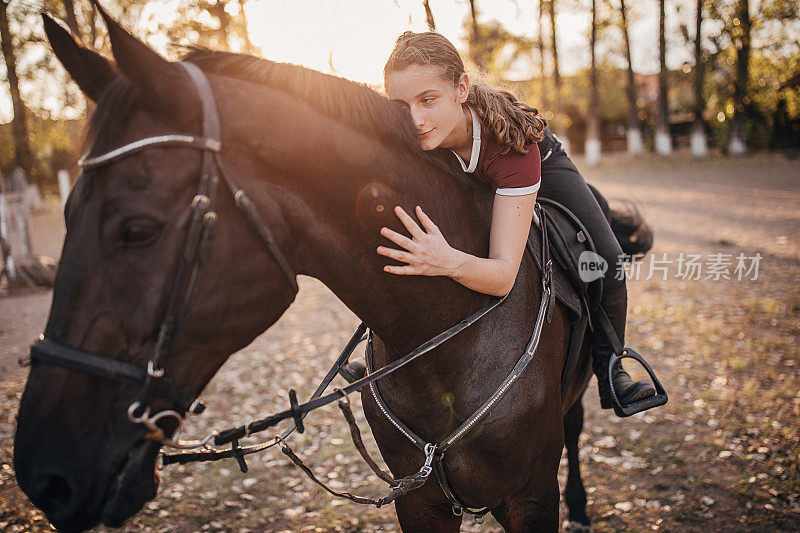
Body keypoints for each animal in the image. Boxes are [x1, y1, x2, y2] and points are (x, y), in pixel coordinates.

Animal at [14, 7, 648, 528]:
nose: (44, 476)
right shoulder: (419, 501)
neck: (447, 333)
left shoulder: (528, 497)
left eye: (137, 229)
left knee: (575, 425)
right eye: (67, 214)